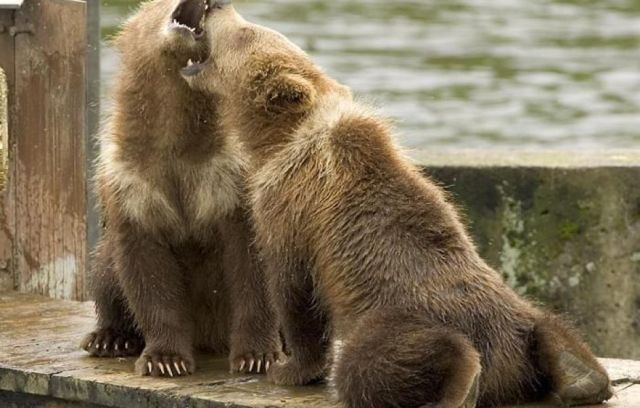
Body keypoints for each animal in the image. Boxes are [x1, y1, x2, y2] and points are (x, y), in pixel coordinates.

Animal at [80, 0, 282, 377]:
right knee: (104, 270)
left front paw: (257, 355)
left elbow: (251, 267)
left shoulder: (229, 178)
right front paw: (165, 359)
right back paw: (108, 338)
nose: (215, 3)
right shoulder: (132, 182)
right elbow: (146, 272)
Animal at [182, 1, 613, 406]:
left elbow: (294, 289)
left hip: (393, 315)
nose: (216, 5)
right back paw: (582, 378)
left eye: (245, 33)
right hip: (514, 314)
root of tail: (505, 368)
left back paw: (466, 378)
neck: (276, 140)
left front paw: (288, 369)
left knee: (371, 362)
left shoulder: (289, 207)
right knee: (549, 324)